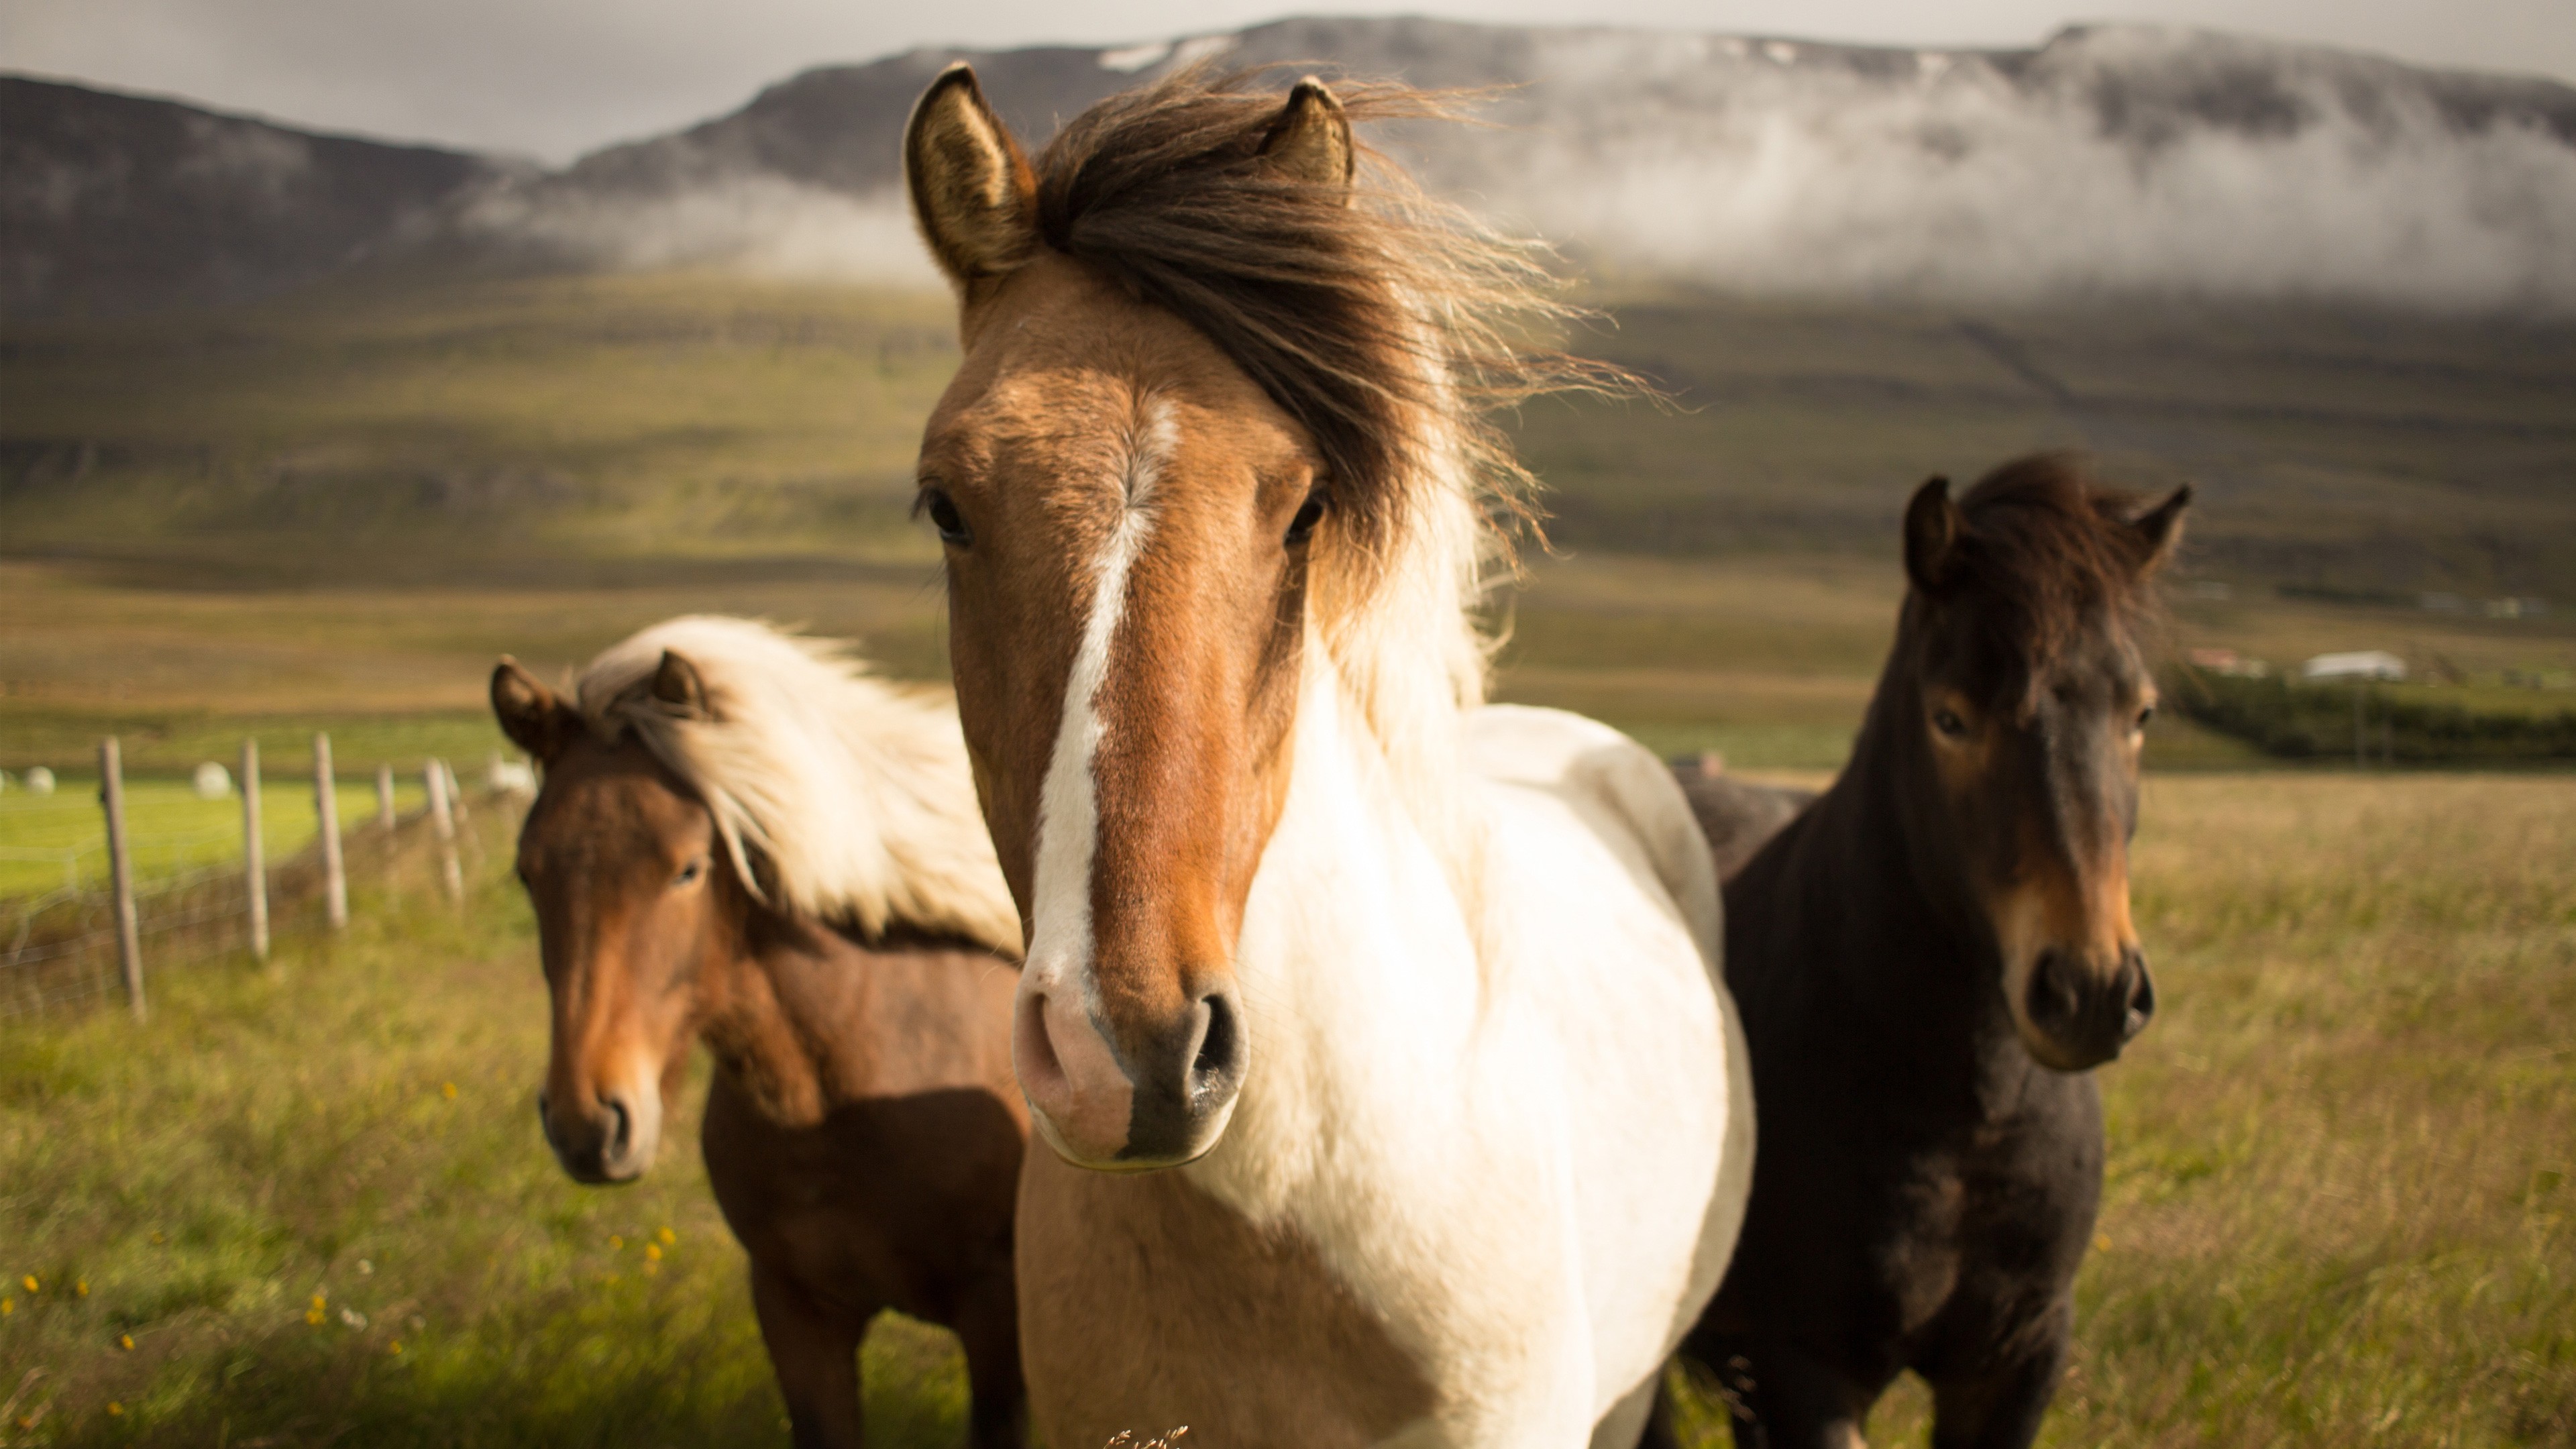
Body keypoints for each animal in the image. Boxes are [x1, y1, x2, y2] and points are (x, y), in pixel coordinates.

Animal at [1669, 453, 2194, 1444]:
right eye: (1951, 719)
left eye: (2141, 713)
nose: (2091, 992)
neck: (1965, 1117)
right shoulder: (1804, 1368)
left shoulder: (2017, 1361)